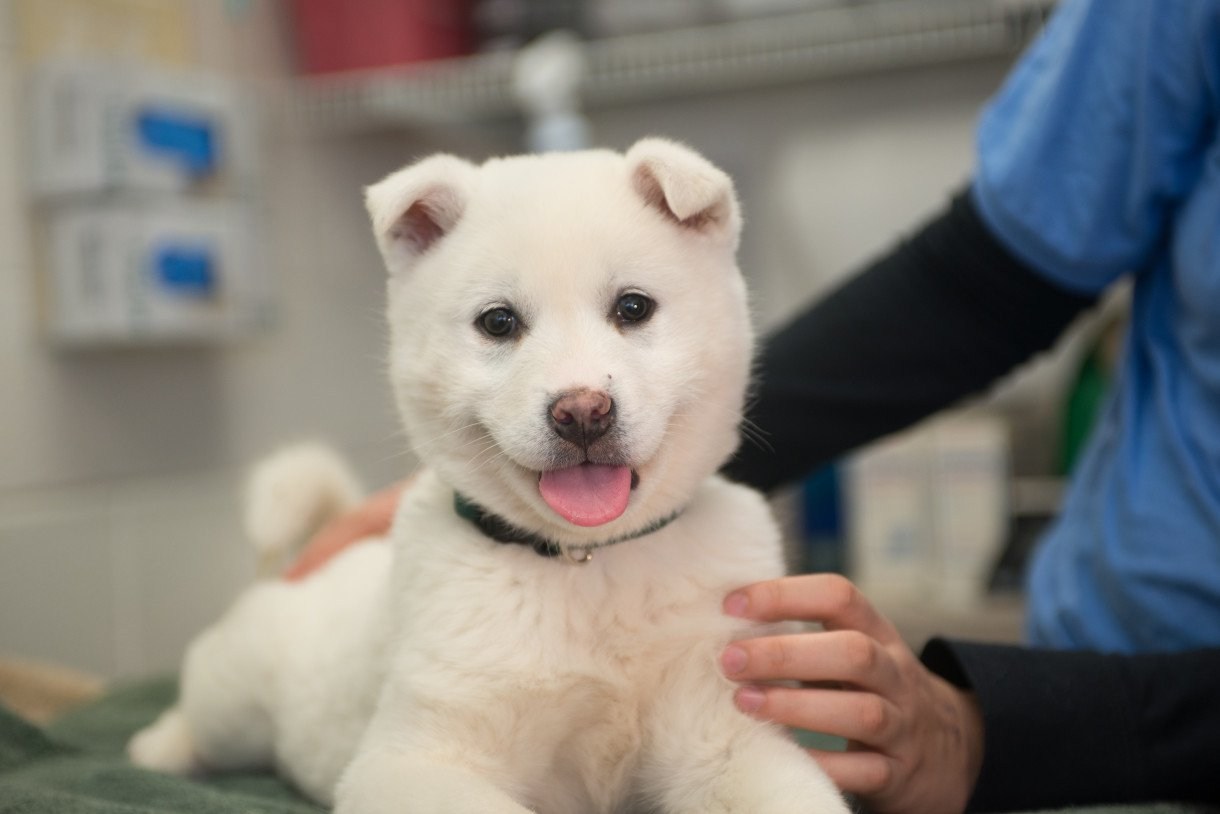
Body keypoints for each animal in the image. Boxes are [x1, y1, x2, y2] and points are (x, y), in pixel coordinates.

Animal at [126, 140, 849, 814]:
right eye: (498, 322)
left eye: (633, 308)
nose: (582, 412)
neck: (589, 567)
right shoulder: (419, 758)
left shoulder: (725, 733)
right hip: (235, 692)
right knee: (202, 712)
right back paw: (159, 747)